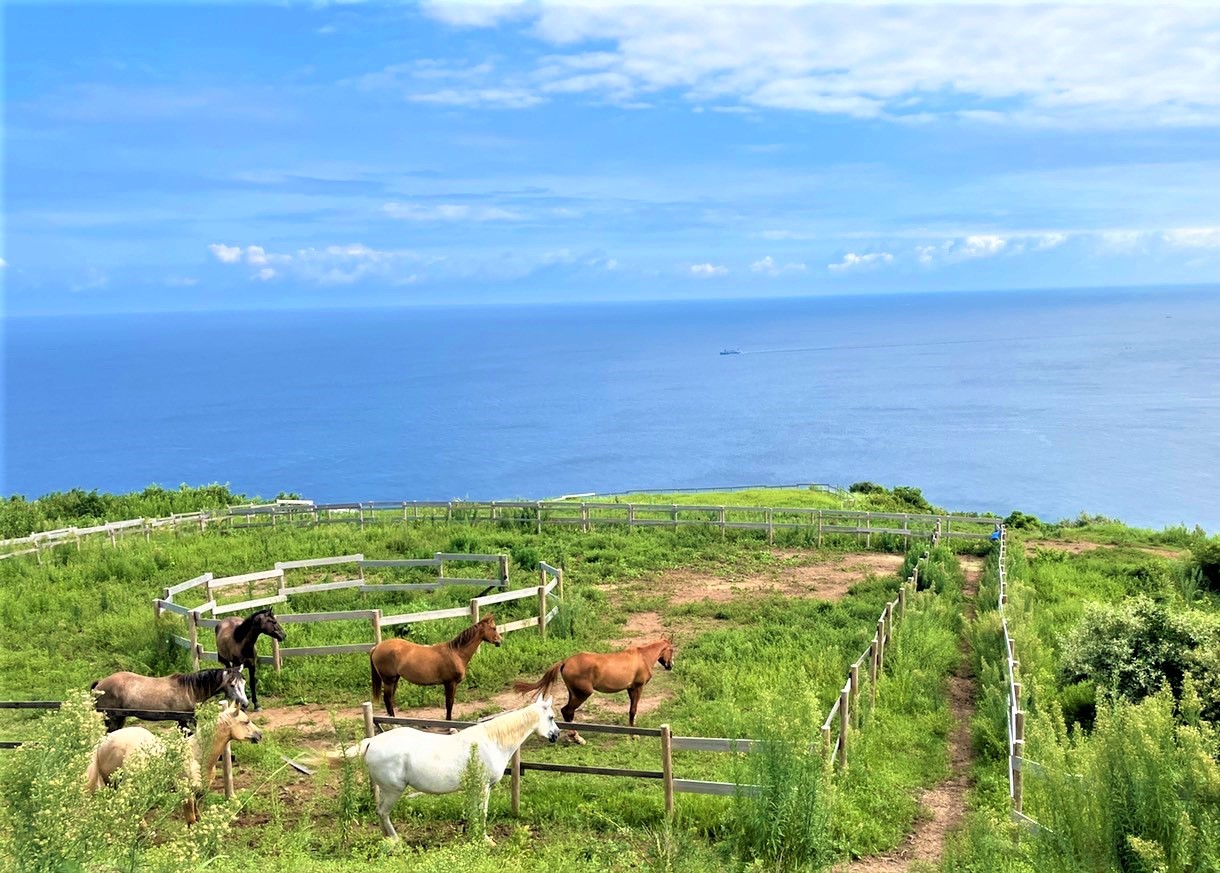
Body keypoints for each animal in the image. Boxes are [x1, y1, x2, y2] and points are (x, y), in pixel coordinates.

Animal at [85, 700, 262, 823]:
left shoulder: (201, 792)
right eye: (246, 721)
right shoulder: (186, 794)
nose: (260, 735)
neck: (197, 754)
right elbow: (191, 819)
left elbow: (198, 816)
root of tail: (103, 743)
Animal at [91, 665, 248, 731]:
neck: (190, 690)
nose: (245, 704)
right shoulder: (186, 721)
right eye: (232, 685)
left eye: (244, 683)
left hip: (119, 718)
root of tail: (99, 683)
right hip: (111, 719)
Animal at [345, 696, 560, 841]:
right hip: (393, 791)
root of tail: (371, 742)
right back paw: (396, 840)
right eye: (550, 717)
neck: (492, 742)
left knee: (380, 812)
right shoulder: (483, 787)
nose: (556, 734)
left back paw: (387, 838)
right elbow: (482, 812)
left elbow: (474, 812)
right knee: (383, 812)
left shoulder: (476, 788)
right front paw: (485, 840)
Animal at [369, 615, 502, 720]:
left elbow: (450, 703)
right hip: (389, 680)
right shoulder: (450, 683)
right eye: (494, 628)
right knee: (387, 700)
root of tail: (376, 648)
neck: (456, 653)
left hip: (395, 679)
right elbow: (449, 704)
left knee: (389, 700)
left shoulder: (452, 684)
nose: (500, 641)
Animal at [513, 637, 675, 740]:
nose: (671, 665)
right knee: (567, 711)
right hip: (583, 694)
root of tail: (565, 662)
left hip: (574, 693)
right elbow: (633, 711)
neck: (642, 658)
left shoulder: (630, 689)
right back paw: (576, 737)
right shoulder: (637, 688)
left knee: (568, 712)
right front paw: (634, 735)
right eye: (672, 650)